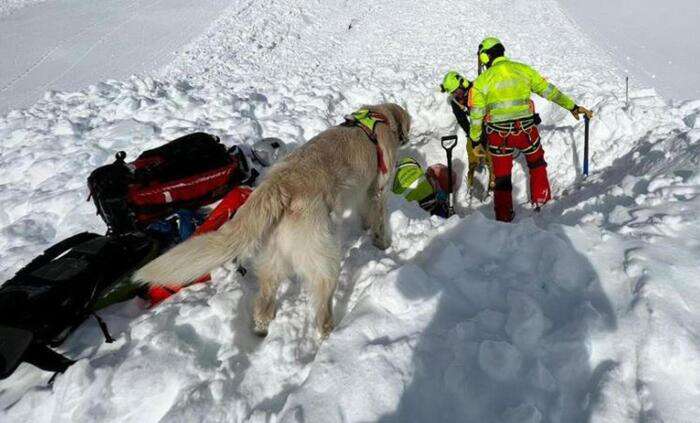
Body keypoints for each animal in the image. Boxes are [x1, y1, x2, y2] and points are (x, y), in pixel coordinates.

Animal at [133, 104, 410, 340]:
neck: (379, 118)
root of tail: (278, 186)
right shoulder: (379, 188)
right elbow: (380, 219)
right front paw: (383, 244)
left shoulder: (365, 193)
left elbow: (366, 214)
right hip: (323, 258)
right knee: (321, 305)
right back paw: (329, 334)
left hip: (274, 258)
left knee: (264, 304)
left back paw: (261, 330)